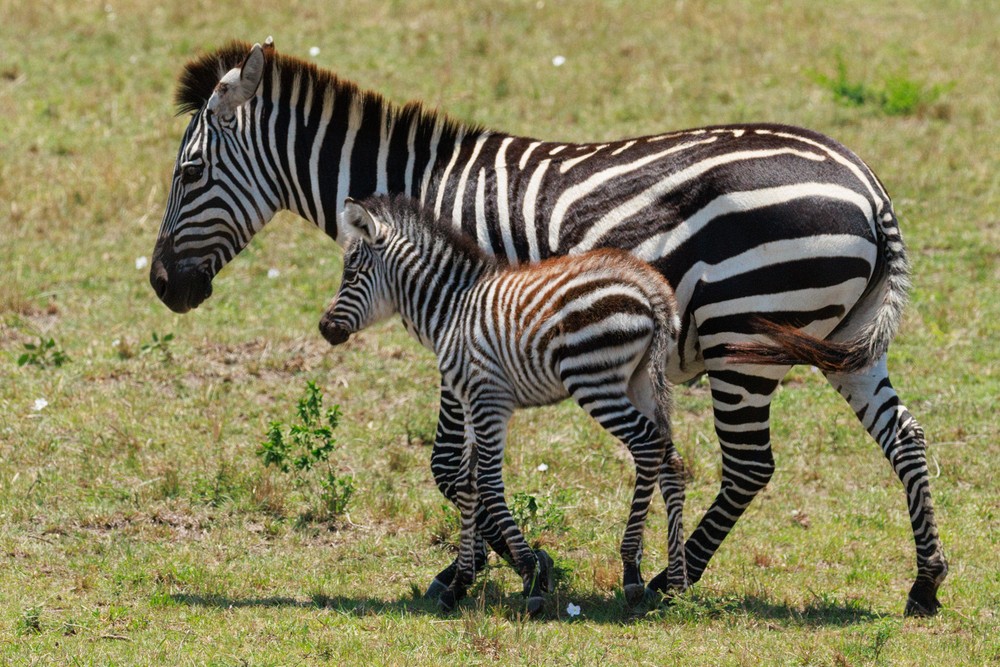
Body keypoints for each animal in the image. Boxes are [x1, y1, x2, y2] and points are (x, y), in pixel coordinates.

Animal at [319, 194, 687, 613]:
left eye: (351, 273)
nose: (324, 328)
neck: (451, 309)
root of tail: (651, 288)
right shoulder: (473, 401)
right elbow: (467, 483)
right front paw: (460, 583)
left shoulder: (487, 399)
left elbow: (489, 484)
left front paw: (530, 576)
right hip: (641, 380)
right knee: (670, 460)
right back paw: (676, 579)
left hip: (594, 380)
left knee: (646, 445)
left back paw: (631, 572)